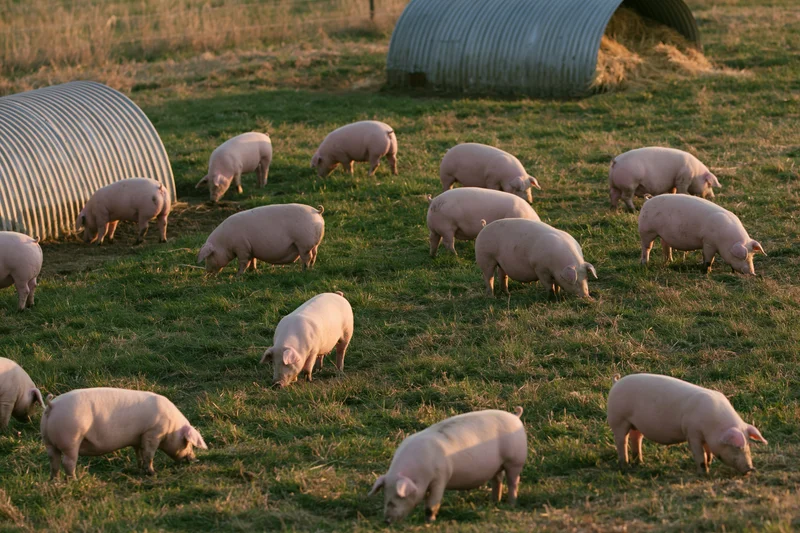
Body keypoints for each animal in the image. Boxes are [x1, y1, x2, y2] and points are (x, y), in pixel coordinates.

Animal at [40, 387, 208, 479]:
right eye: (187, 442)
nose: (194, 459)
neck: (172, 427)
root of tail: (52, 405)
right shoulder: (152, 433)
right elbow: (149, 454)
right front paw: (153, 472)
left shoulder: (138, 438)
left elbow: (139, 453)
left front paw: (140, 468)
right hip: (71, 439)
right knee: (67, 462)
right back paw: (73, 480)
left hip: (48, 441)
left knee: (53, 461)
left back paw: (54, 481)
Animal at [368, 407, 527, 524]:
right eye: (385, 494)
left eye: (399, 496)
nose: (387, 521)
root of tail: (515, 417)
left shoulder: (441, 477)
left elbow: (433, 502)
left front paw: (429, 521)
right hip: (497, 466)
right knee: (497, 480)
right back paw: (494, 502)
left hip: (515, 460)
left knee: (513, 481)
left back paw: (511, 504)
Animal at [607, 373, 768, 475]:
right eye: (736, 447)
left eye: (748, 444)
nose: (750, 469)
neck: (714, 425)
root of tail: (616, 382)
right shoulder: (692, 432)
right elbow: (698, 453)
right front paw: (704, 473)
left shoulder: (704, 436)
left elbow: (708, 450)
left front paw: (709, 463)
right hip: (618, 419)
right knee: (621, 440)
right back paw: (625, 466)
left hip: (636, 424)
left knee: (636, 438)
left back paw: (639, 462)